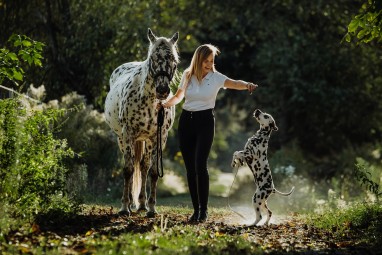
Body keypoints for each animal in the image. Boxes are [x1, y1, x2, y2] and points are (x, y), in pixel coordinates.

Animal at [104, 28, 179, 217]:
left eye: (174, 60)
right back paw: (131, 203)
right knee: (130, 164)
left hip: (147, 140)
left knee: (144, 167)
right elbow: (128, 170)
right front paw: (124, 207)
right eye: (152, 57)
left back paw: (142, 204)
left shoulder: (160, 137)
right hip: (122, 139)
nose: (162, 90)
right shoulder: (128, 133)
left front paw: (151, 208)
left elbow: (153, 171)